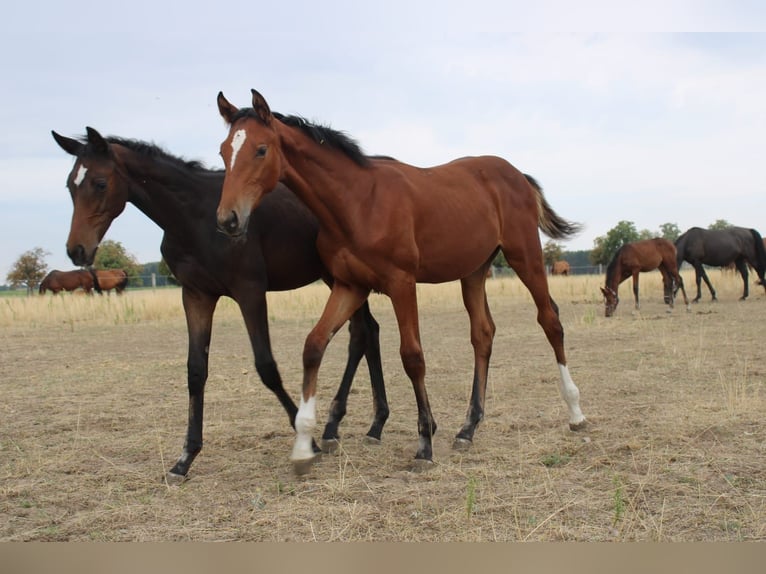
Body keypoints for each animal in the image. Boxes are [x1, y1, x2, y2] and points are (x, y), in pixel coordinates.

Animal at [52, 128, 390, 484]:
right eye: (70, 185)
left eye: (100, 183)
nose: (76, 250)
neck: (194, 217)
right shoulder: (196, 295)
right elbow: (195, 370)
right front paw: (185, 459)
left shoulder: (249, 291)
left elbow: (266, 366)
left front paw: (306, 443)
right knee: (366, 332)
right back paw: (365, 425)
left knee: (361, 334)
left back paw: (344, 426)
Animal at [216, 91, 588, 476]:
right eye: (223, 151)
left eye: (261, 149)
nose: (228, 220)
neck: (357, 202)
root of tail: (518, 174)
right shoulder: (350, 286)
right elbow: (314, 345)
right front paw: (305, 444)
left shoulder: (401, 282)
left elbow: (412, 356)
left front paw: (424, 443)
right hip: (473, 272)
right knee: (482, 334)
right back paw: (468, 429)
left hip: (525, 256)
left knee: (550, 321)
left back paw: (576, 413)